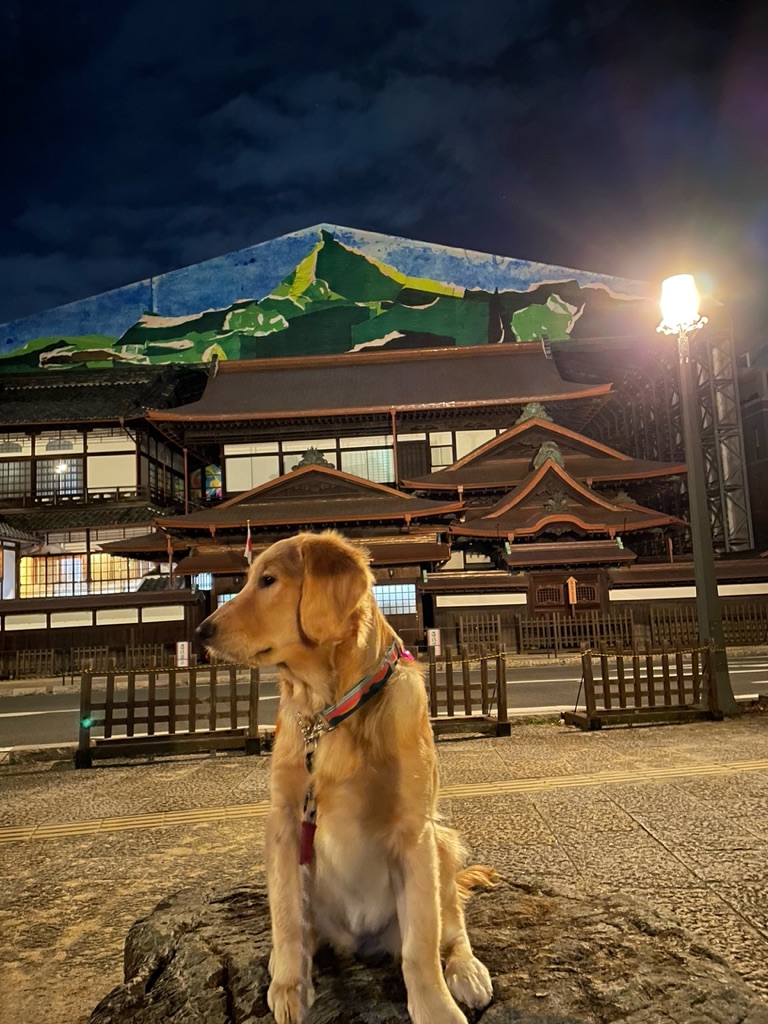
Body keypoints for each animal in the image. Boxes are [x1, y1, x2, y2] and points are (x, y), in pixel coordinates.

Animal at [198, 532, 495, 1024]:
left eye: (268, 580)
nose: (202, 632)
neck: (329, 714)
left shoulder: (414, 831)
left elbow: (422, 944)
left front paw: (435, 1008)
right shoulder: (284, 819)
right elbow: (286, 918)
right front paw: (289, 986)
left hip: (442, 843)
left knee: (450, 926)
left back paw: (466, 970)